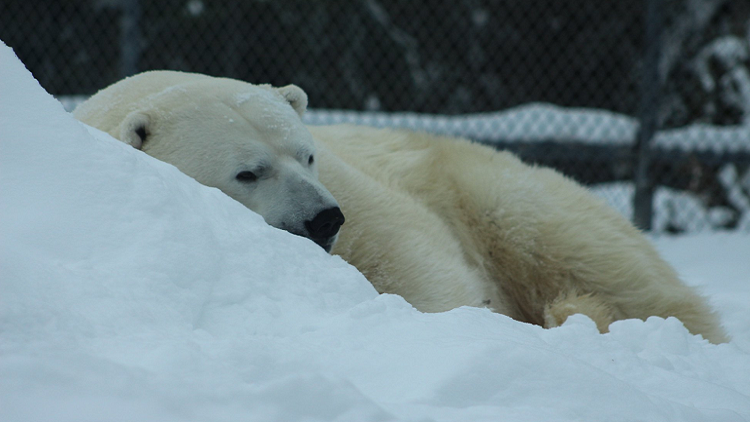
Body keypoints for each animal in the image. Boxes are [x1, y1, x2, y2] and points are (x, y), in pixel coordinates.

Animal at [73, 71, 732, 342]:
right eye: (247, 172)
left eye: (307, 155)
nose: (324, 219)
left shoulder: (367, 199)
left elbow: (421, 272)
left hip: (493, 191)